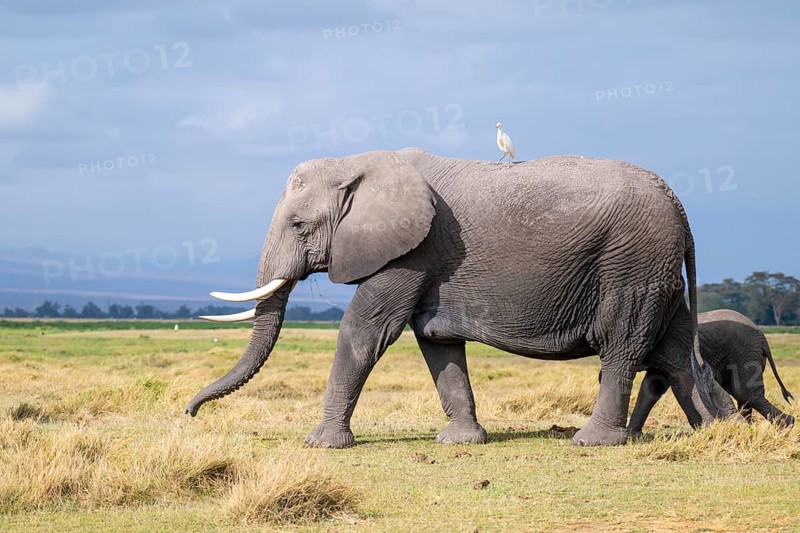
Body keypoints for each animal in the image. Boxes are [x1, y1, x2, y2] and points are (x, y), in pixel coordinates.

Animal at [185, 148, 735, 448]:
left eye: (299, 225)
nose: (190, 414)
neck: (357, 162)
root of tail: (681, 210)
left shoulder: (413, 250)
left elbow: (365, 331)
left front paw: (321, 445)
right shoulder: (428, 262)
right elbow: (436, 341)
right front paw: (461, 442)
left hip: (631, 263)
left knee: (622, 346)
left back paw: (594, 441)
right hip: (657, 268)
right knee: (674, 354)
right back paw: (718, 429)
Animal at [625, 309, 794, 434]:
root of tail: (763, 337)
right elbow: (654, 385)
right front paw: (633, 436)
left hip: (744, 353)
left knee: (744, 393)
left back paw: (786, 427)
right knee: (741, 394)